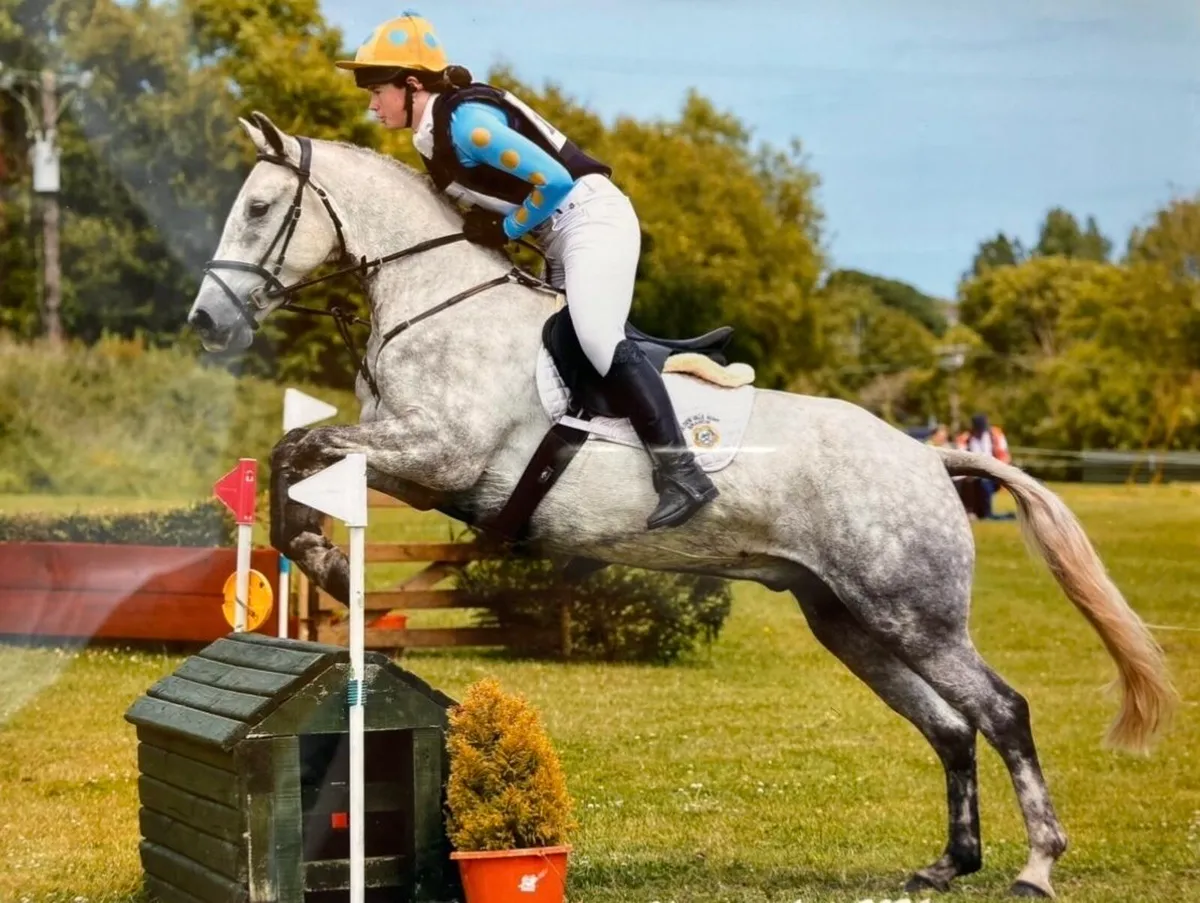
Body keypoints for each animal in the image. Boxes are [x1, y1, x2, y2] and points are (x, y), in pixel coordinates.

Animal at [187, 111, 1175, 899]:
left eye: (261, 210)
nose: (207, 321)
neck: (437, 302)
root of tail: (930, 455)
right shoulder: (416, 461)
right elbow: (296, 458)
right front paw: (326, 564)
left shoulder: (438, 451)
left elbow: (305, 452)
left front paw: (331, 566)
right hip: (848, 617)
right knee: (947, 722)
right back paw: (948, 863)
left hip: (914, 613)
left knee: (1001, 710)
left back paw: (1034, 864)